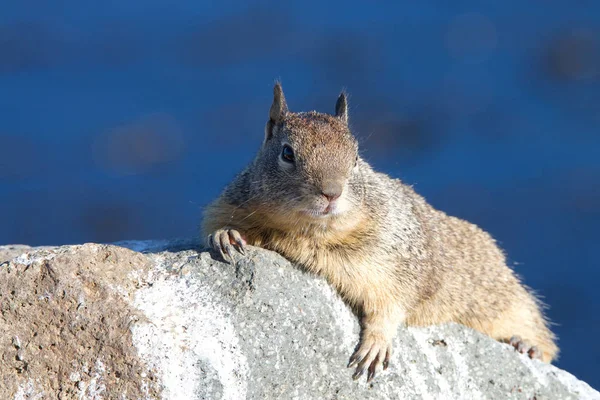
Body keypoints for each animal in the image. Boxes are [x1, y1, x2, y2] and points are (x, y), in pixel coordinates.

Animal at [202, 82, 556, 382]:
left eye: (357, 157)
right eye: (287, 153)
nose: (332, 193)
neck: (310, 233)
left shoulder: (395, 261)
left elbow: (391, 304)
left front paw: (376, 344)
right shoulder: (230, 205)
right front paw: (225, 235)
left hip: (503, 297)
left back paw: (526, 345)